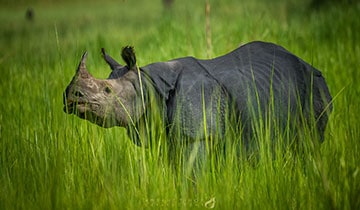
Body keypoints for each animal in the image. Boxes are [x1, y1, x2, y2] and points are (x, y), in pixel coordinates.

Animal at [63, 41, 334, 154]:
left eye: (107, 91)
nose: (70, 98)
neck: (147, 84)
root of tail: (308, 64)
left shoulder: (198, 133)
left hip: (314, 87)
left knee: (309, 144)